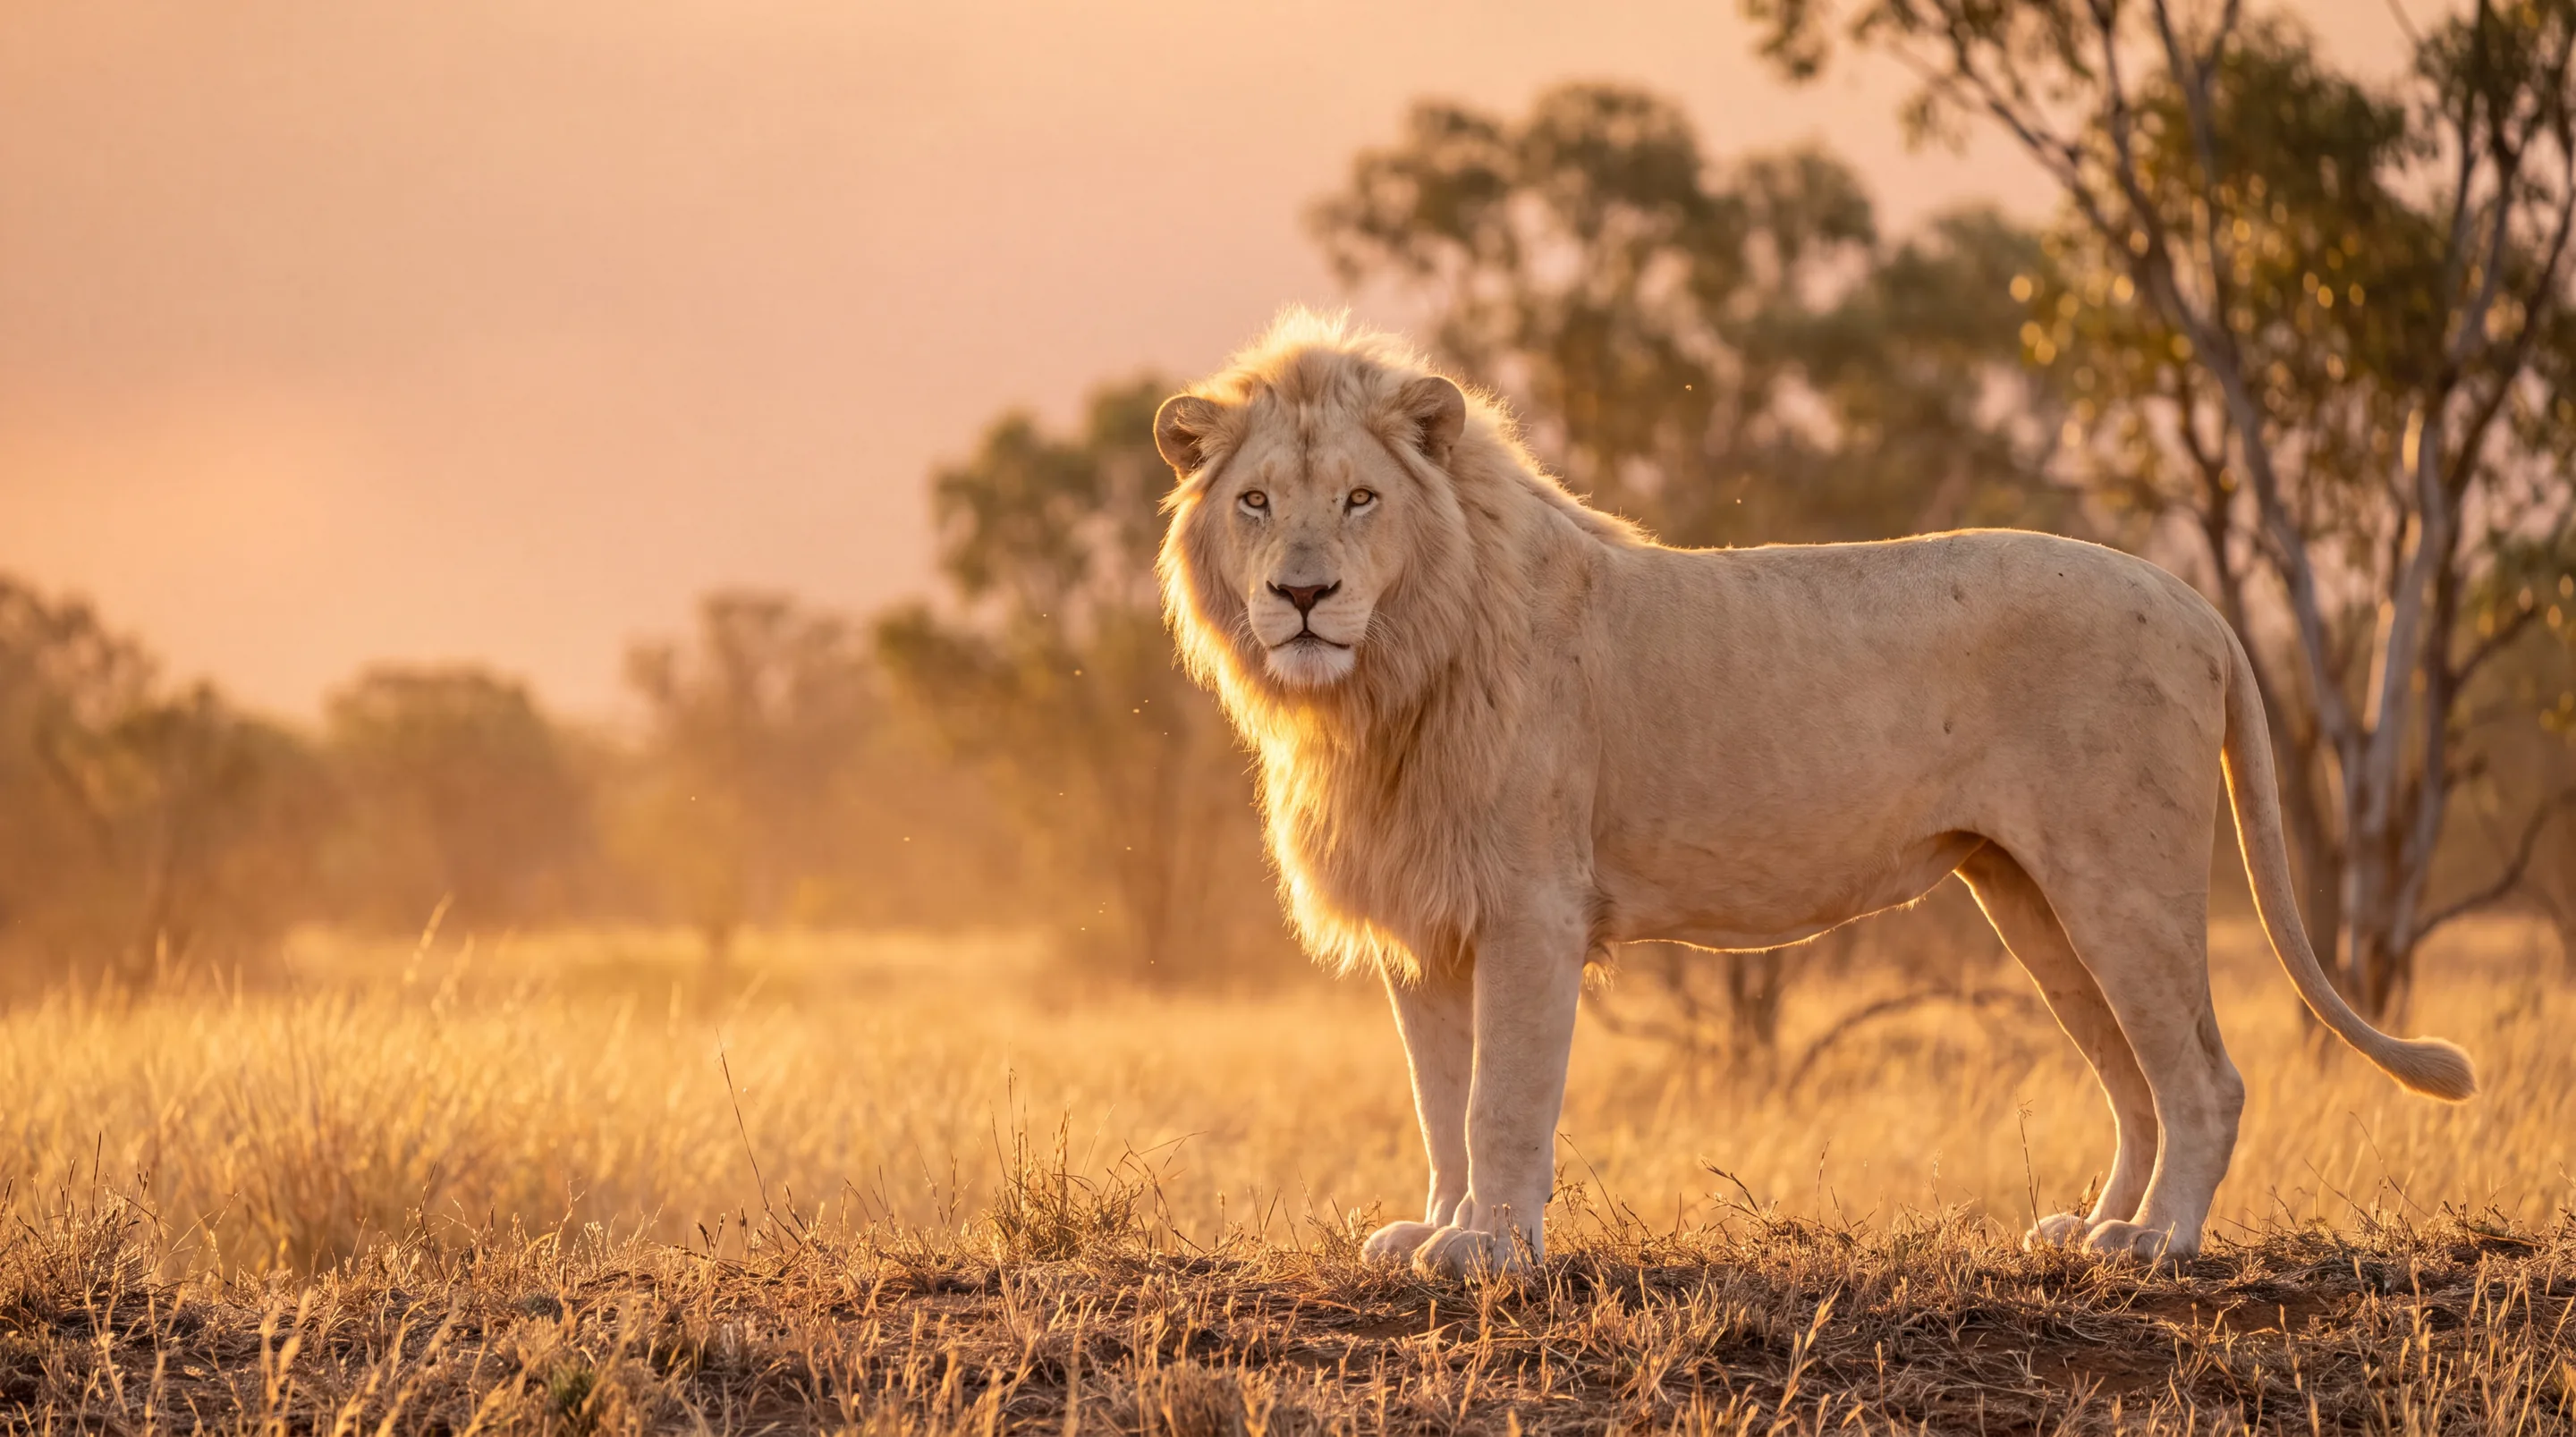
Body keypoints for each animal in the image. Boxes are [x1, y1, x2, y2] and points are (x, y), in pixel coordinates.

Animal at [1151, 310, 2474, 1276]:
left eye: (1360, 499)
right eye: (1257, 501)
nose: (1303, 594)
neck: (1379, 685)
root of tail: (2194, 599)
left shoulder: (1530, 904)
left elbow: (1501, 1098)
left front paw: (1494, 1248)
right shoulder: (1430, 920)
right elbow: (1437, 1096)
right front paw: (1434, 1226)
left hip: (2121, 882)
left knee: (2203, 1075)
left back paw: (2159, 1244)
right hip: (2031, 895)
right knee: (2134, 1080)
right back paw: (2092, 1227)